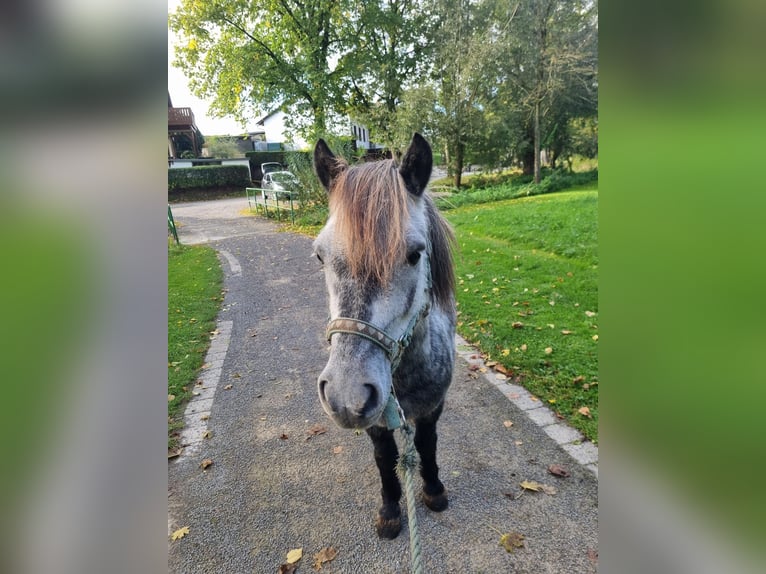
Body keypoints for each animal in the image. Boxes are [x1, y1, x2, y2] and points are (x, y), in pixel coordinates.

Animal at [312, 134, 456, 540]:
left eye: (415, 254)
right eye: (319, 256)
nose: (346, 395)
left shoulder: (433, 407)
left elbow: (426, 443)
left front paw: (434, 491)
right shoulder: (375, 420)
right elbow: (384, 456)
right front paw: (391, 509)